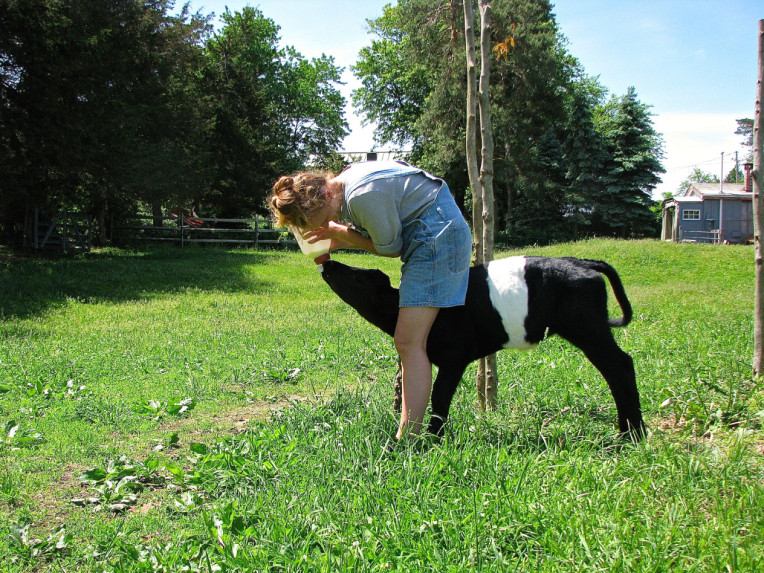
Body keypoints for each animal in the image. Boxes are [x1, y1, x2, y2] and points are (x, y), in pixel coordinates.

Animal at [320, 256, 648, 440]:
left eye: (361, 277)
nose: (329, 263)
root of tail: (581, 263)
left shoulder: (454, 358)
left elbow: (439, 396)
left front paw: (433, 439)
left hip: (588, 329)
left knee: (620, 366)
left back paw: (630, 434)